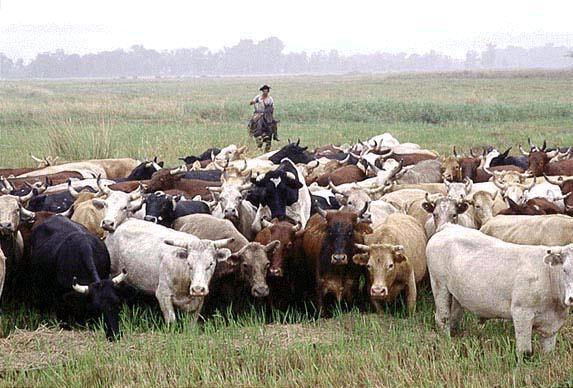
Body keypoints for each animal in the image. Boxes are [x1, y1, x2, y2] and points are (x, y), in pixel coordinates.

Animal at [424, 223, 572, 356]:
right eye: (564, 270)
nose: (571, 298)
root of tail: (449, 227)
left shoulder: (552, 326)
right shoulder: (522, 313)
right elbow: (525, 353)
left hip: (457, 295)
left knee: (454, 318)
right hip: (439, 285)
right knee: (443, 318)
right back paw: (447, 344)